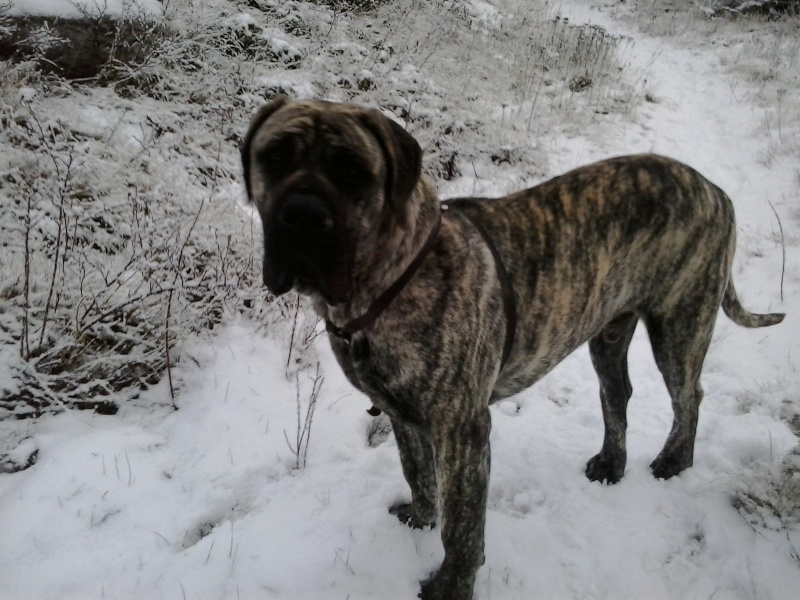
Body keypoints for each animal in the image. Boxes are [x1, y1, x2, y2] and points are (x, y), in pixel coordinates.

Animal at [241, 96, 784, 596]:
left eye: (353, 171)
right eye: (274, 156)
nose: (302, 214)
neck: (391, 279)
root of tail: (716, 191)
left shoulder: (462, 429)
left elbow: (463, 526)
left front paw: (451, 584)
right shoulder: (402, 414)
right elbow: (417, 472)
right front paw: (421, 518)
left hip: (679, 321)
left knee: (688, 395)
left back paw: (674, 461)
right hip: (609, 331)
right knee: (618, 394)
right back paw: (611, 463)